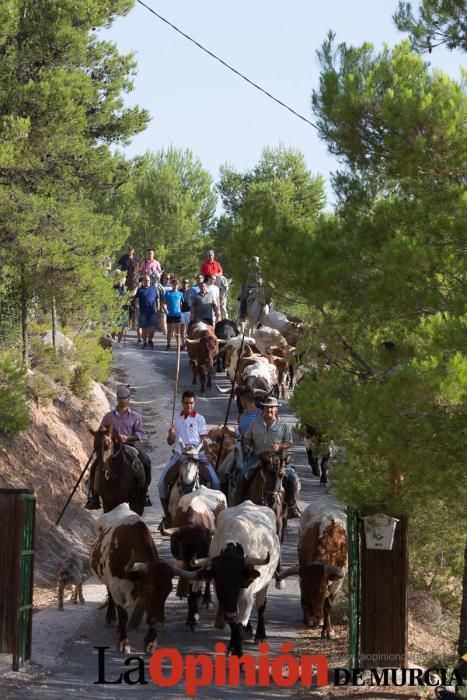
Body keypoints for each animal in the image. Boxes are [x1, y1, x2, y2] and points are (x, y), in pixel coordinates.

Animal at [278, 498, 348, 640]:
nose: (310, 621)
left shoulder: (338, 581)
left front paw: (329, 631)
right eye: (303, 588)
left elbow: (328, 605)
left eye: (321, 589)